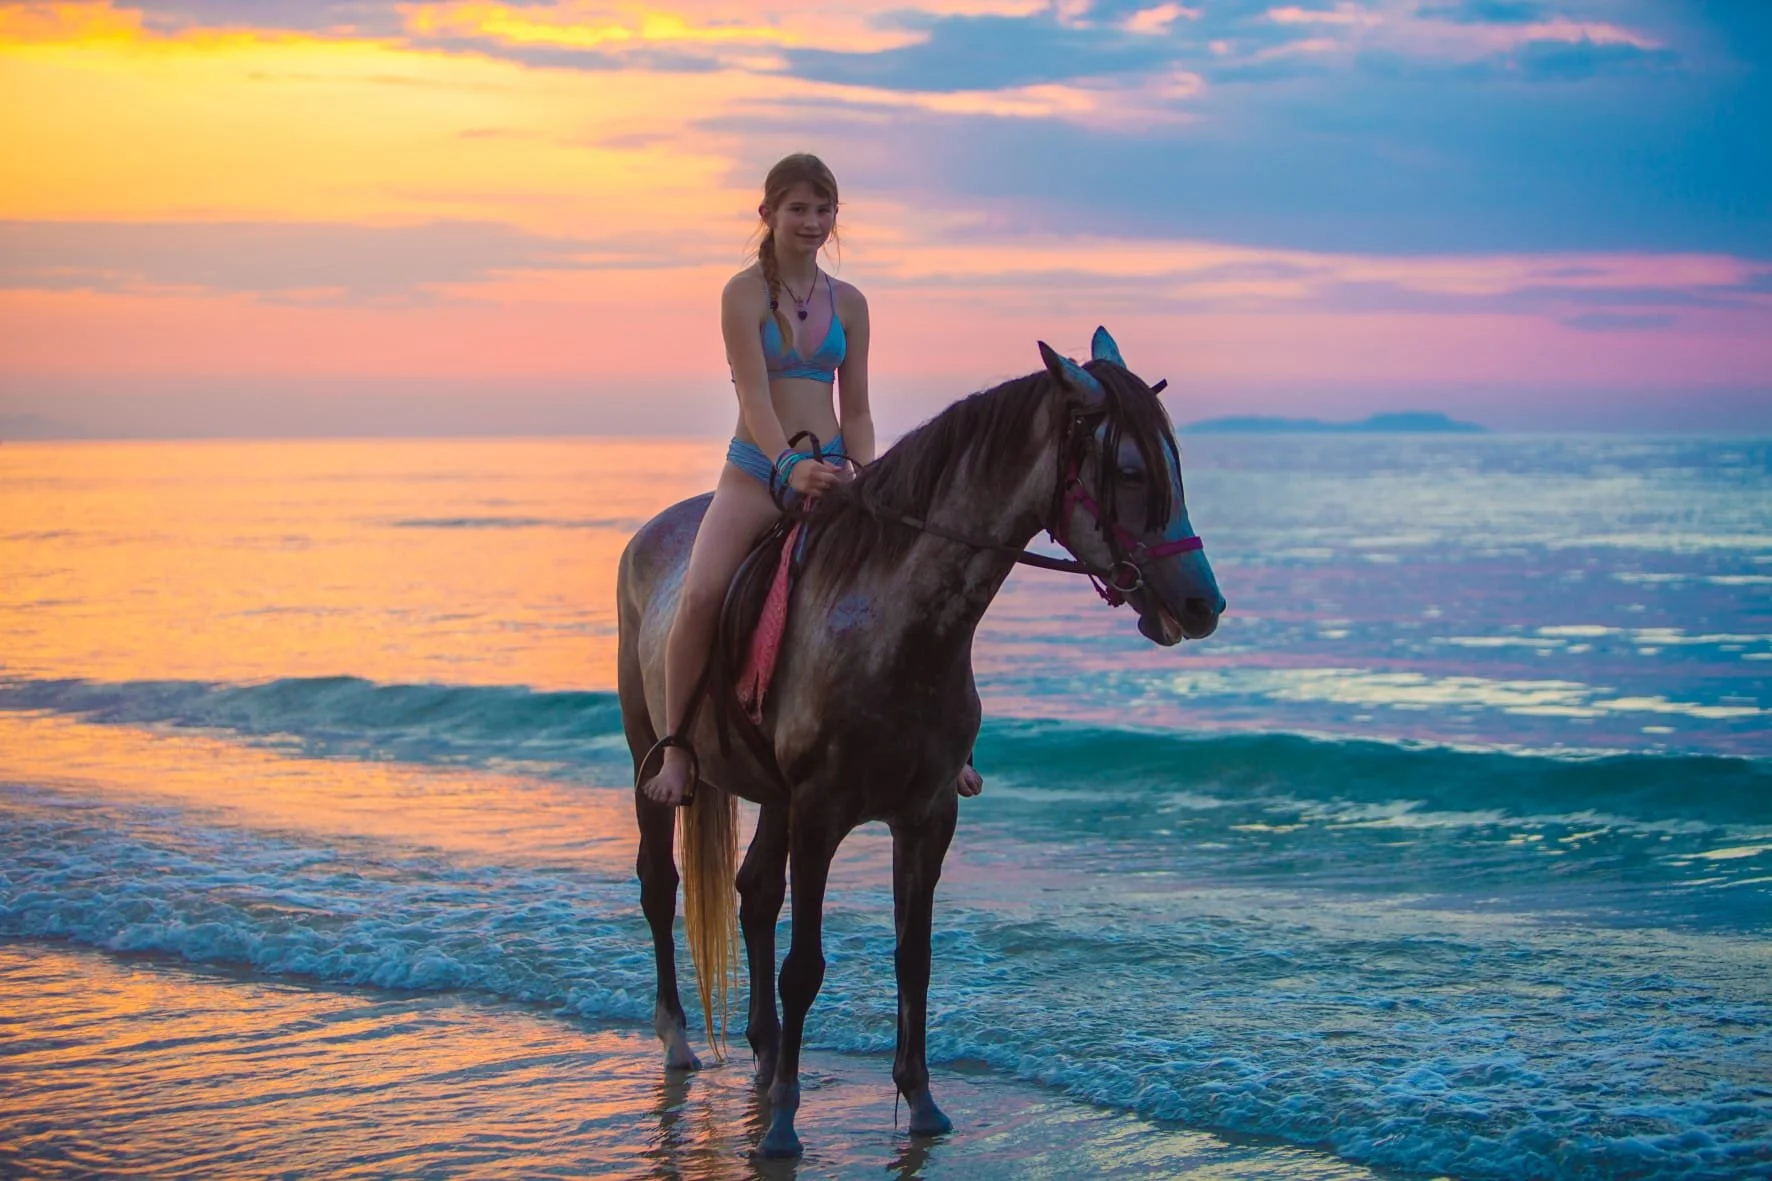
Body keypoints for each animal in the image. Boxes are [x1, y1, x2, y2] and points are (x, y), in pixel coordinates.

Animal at [616, 327, 1225, 1158]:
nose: (1203, 603)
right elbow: (805, 965)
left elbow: (916, 954)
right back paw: (680, 1041)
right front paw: (784, 1125)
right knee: (660, 883)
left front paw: (922, 1101)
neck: (897, 624)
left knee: (754, 893)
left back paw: (768, 1055)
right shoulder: (820, 814)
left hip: (774, 796)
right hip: (650, 756)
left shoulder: (928, 814)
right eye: (1130, 472)